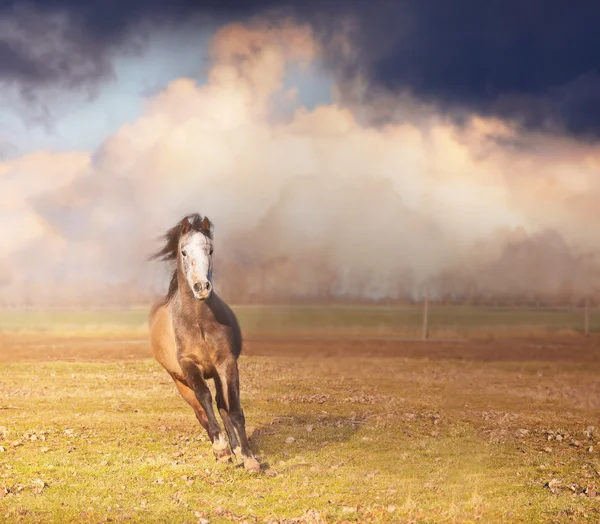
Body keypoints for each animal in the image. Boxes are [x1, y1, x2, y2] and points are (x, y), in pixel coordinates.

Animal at [148, 211, 260, 472]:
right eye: (183, 251)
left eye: (210, 250)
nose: (201, 287)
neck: (198, 323)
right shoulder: (189, 366)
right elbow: (204, 398)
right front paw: (221, 449)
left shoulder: (226, 363)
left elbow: (233, 408)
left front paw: (248, 458)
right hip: (179, 381)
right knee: (200, 411)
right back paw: (222, 452)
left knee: (222, 404)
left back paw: (235, 450)